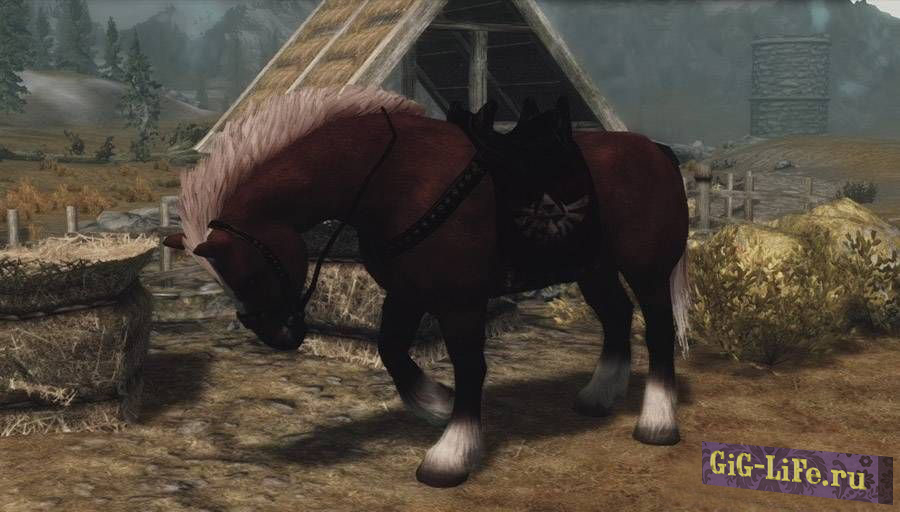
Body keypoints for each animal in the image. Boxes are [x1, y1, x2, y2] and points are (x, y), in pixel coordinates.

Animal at [162, 86, 690, 488]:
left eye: (250, 273)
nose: (277, 336)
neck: (397, 180)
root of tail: (658, 151)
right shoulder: (408, 292)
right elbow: (392, 350)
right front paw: (436, 404)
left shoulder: (460, 302)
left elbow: (471, 367)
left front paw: (450, 454)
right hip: (592, 268)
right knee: (617, 317)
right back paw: (599, 397)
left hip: (647, 271)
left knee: (659, 333)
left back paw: (656, 423)